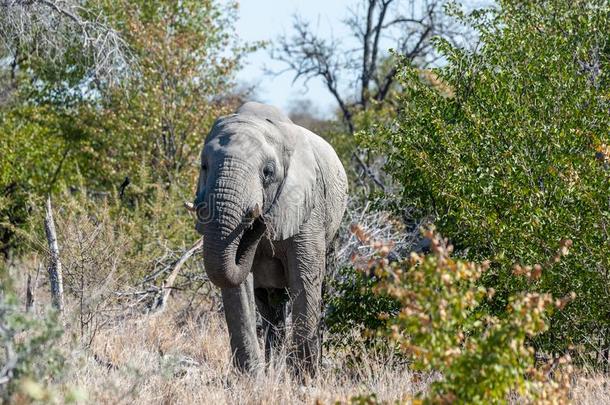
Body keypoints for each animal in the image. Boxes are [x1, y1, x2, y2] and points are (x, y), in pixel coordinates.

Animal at [190, 100, 346, 372]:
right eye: (204, 166)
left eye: (268, 172)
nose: (258, 216)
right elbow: (237, 286)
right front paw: (251, 377)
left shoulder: (309, 207)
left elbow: (304, 279)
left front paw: (305, 377)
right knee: (270, 302)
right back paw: (273, 367)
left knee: (321, 287)